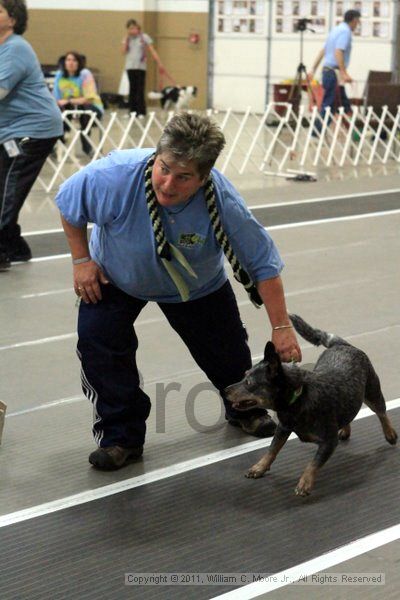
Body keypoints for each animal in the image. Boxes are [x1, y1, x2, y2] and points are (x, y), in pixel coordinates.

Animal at [225, 314, 396, 496]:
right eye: (244, 375)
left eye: (249, 383)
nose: (225, 390)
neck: (298, 398)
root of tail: (341, 344)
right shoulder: (283, 428)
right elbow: (272, 449)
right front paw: (260, 467)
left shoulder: (329, 442)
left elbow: (313, 463)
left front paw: (305, 482)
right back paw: (345, 429)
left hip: (372, 392)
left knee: (381, 412)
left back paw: (390, 433)